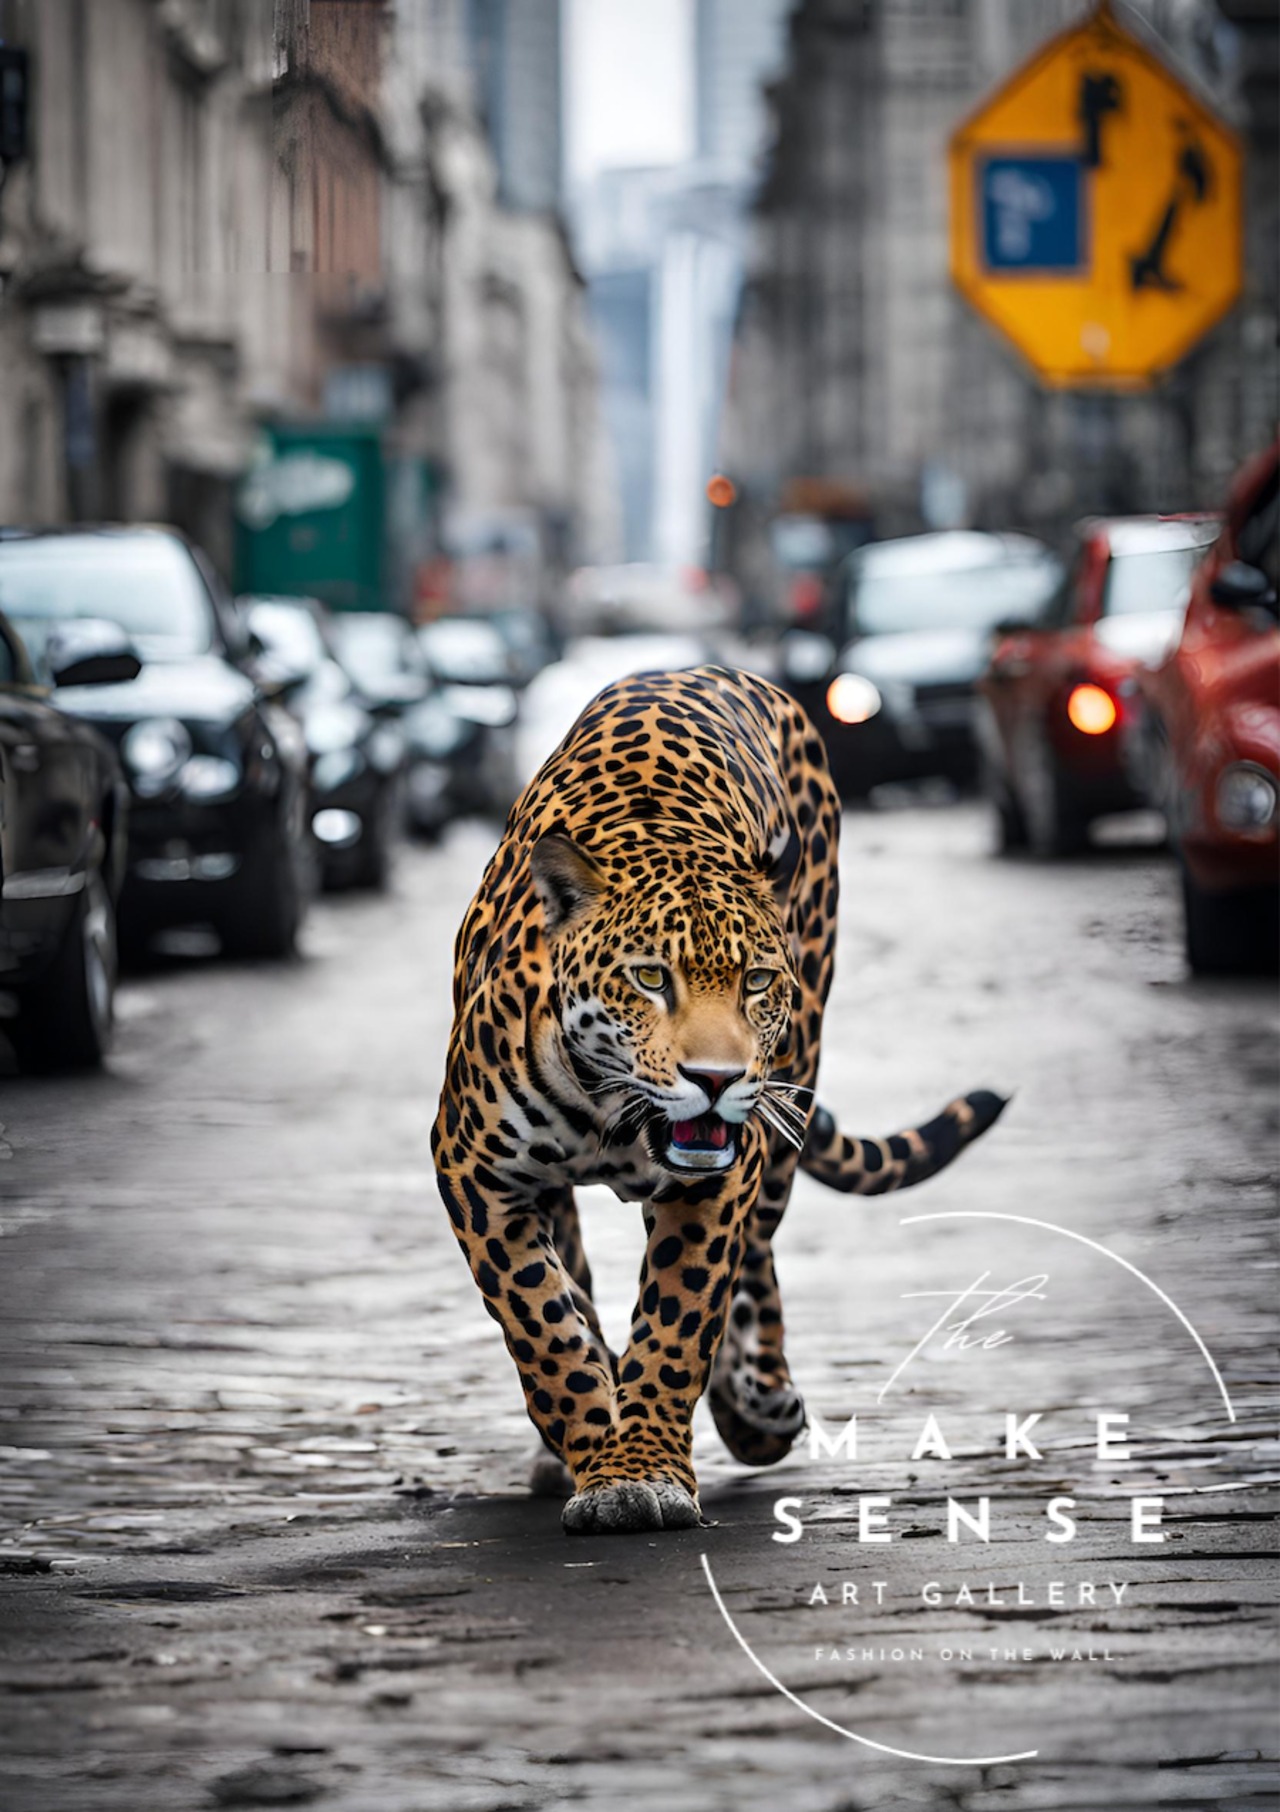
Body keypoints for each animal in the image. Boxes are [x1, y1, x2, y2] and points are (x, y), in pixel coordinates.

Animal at [432, 665, 1004, 1535]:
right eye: (648, 978)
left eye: (757, 982)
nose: (715, 1078)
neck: (613, 1112)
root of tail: (705, 668)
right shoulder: (478, 1172)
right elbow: (545, 1324)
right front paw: (595, 1445)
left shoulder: (718, 1175)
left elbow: (680, 1314)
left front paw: (641, 1468)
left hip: (788, 1096)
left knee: (756, 1257)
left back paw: (759, 1407)